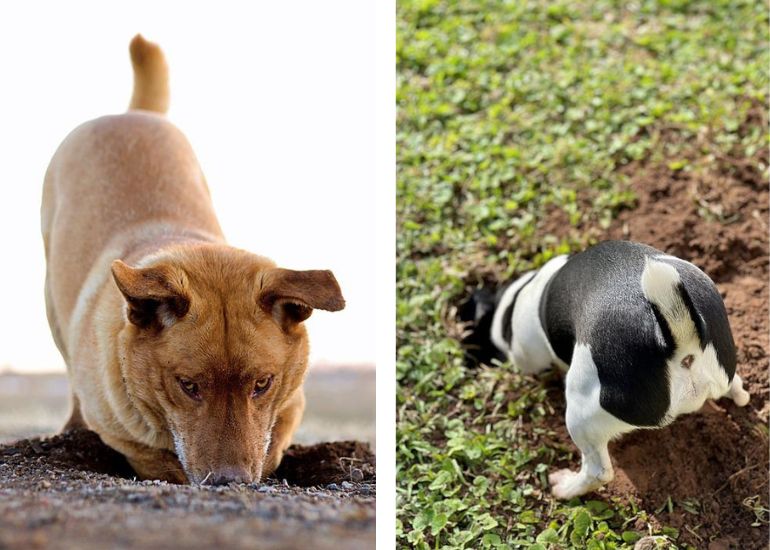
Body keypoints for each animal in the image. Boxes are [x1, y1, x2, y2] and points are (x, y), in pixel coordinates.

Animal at [41, 36, 342, 488]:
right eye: (187, 385)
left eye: (262, 383)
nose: (229, 481)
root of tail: (133, 113)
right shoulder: (125, 435)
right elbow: (160, 460)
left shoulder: (290, 401)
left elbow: (272, 444)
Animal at [460, 240, 748, 500]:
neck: (515, 301)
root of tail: (676, 340)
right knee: (736, 387)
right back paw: (738, 394)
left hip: (582, 415)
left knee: (598, 472)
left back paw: (565, 488)